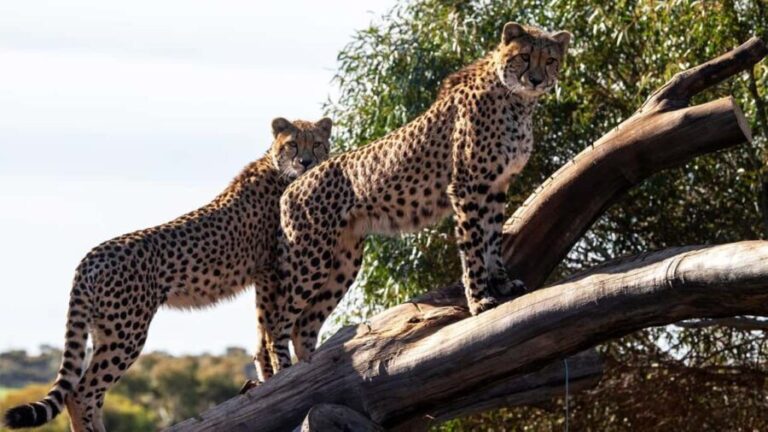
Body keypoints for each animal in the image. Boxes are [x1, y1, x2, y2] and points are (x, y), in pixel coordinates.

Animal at [3, 117, 332, 432]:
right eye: (293, 144)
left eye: (317, 144)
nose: (306, 162)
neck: (277, 167)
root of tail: (91, 256)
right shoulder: (270, 270)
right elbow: (270, 326)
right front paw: (278, 374)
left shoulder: (263, 274)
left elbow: (263, 327)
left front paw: (268, 379)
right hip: (126, 331)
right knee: (81, 392)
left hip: (104, 330)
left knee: (92, 392)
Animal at [267, 23, 572, 371]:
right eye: (524, 56)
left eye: (550, 60)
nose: (535, 79)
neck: (518, 102)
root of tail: (293, 184)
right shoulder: (467, 186)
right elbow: (473, 248)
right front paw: (479, 300)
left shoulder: (496, 187)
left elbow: (493, 241)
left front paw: (504, 284)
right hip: (312, 256)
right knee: (278, 322)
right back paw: (283, 374)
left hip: (344, 259)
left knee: (304, 324)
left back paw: (312, 368)